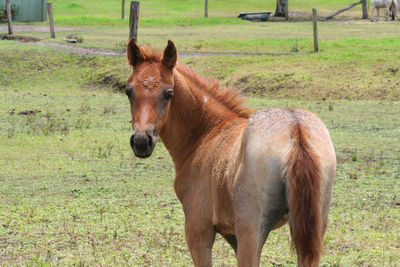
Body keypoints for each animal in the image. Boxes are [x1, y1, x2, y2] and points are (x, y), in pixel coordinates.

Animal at [124, 38, 334, 267]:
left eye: (168, 93)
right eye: (128, 91)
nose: (142, 141)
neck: (206, 132)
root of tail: (295, 129)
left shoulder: (198, 228)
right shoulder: (231, 234)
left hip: (252, 231)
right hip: (311, 230)